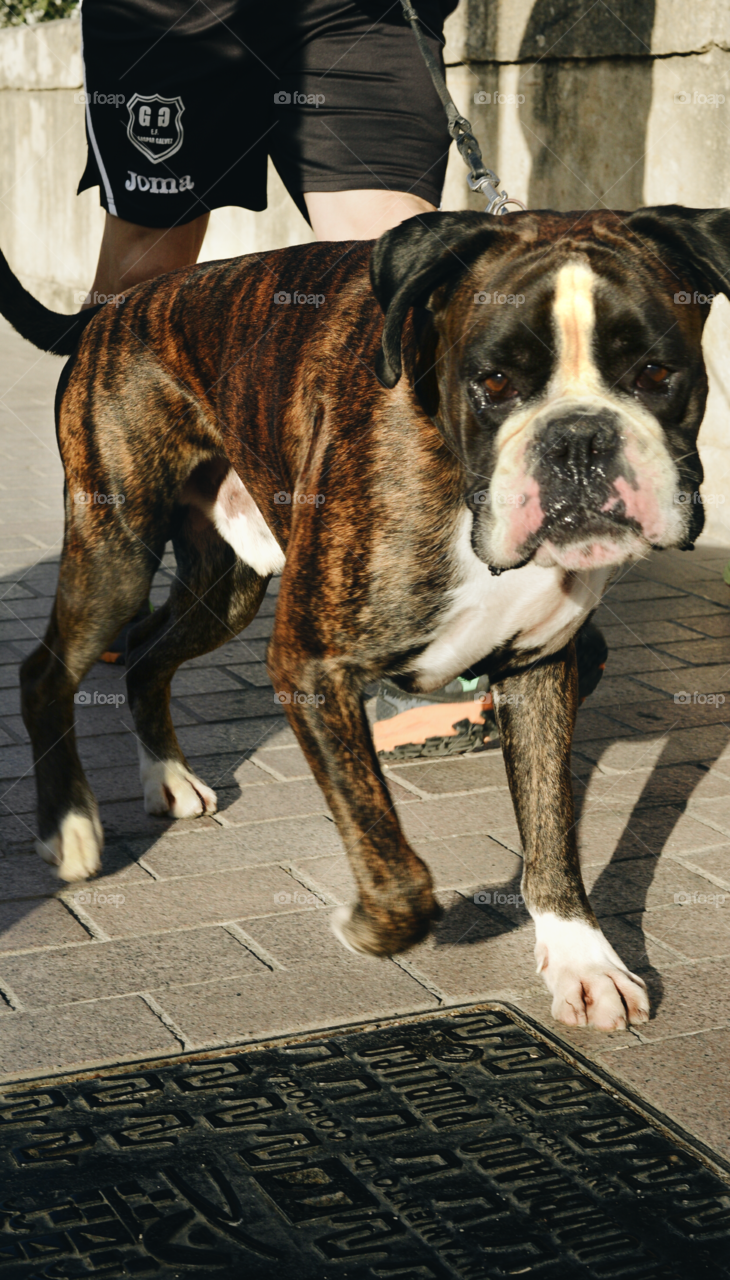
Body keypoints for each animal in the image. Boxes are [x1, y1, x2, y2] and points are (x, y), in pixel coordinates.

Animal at [0, 209, 722, 1029]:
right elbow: (394, 860)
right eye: (493, 382)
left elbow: (550, 831)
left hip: (226, 586)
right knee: (47, 669)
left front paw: (582, 960)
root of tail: (116, 307)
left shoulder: (539, 670)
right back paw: (69, 826)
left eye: (657, 375)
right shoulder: (313, 664)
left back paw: (168, 779)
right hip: (116, 553)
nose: (578, 438)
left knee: (150, 657)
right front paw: (373, 926)